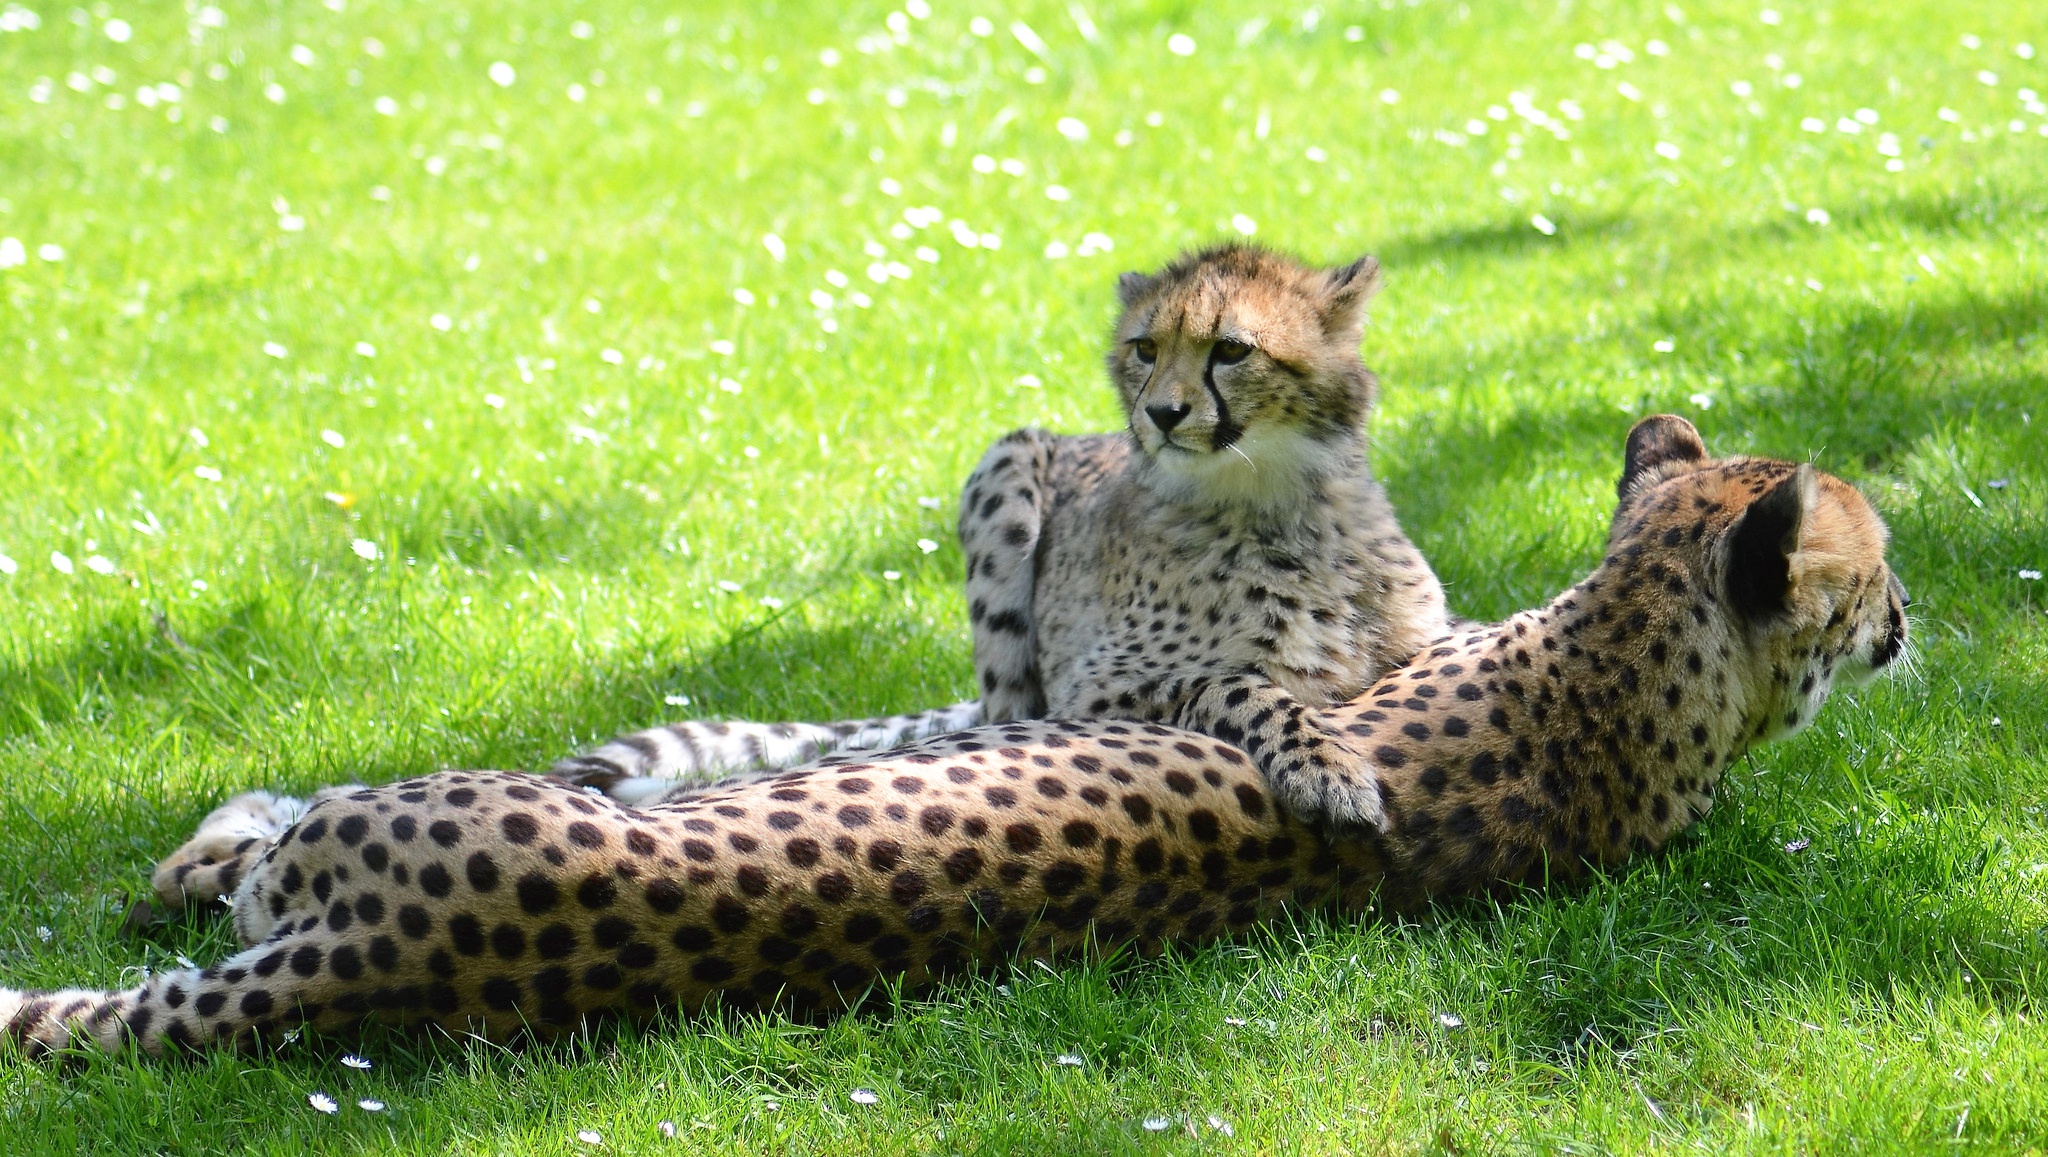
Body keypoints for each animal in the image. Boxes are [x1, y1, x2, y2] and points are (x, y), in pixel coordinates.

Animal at [8, 417, 1908, 1056]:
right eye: (1876, 558)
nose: (1909, 616)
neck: (1626, 678)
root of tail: (394, 961)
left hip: (346, 857)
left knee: (253, 845)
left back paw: (208, 849)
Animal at [557, 243, 1458, 835]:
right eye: (1145, 348)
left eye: (1231, 349)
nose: (1161, 414)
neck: (1270, 502)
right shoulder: (1094, 691)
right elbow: (1236, 683)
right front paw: (1327, 767)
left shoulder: (1426, 635)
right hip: (1007, 467)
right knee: (1000, 711)